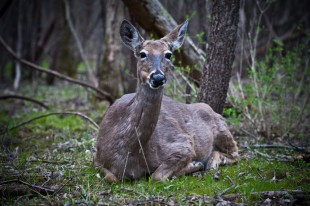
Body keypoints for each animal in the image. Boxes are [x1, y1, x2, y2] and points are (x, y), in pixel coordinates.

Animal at [93, 20, 239, 183]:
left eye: (168, 54)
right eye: (142, 54)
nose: (157, 77)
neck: (128, 156)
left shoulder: (183, 144)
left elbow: (157, 176)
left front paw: (194, 164)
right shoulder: (96, 159)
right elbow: (110, 177)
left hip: (222, 129)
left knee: (235, 153)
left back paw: (211, 162)